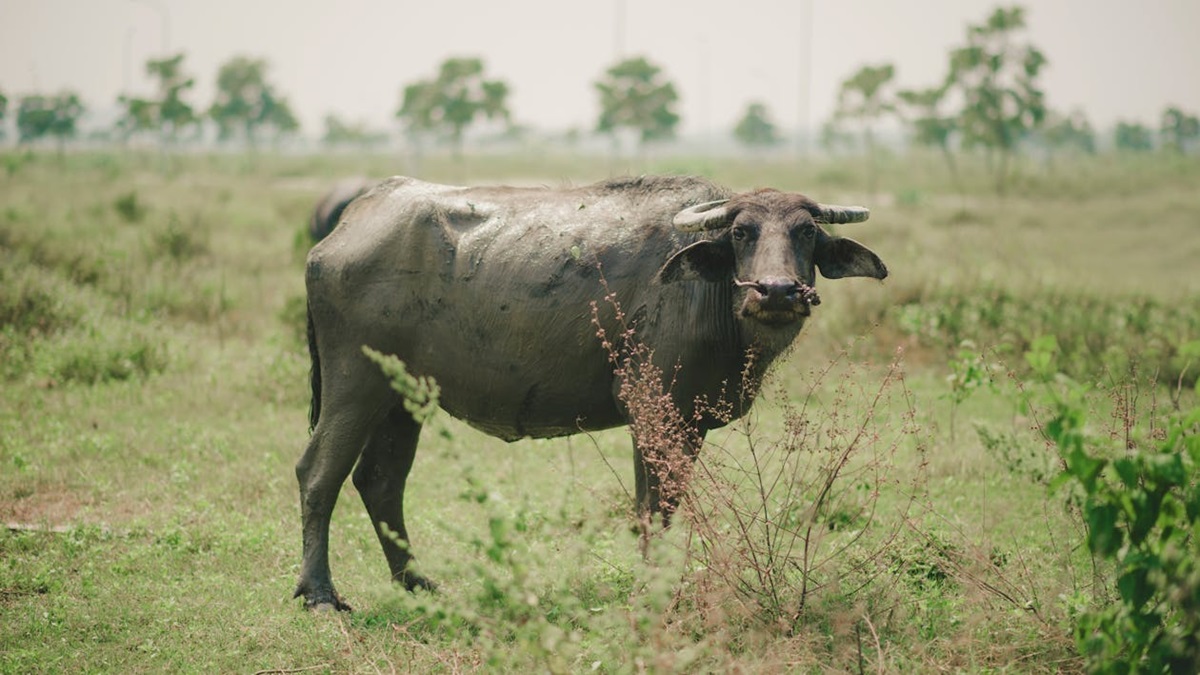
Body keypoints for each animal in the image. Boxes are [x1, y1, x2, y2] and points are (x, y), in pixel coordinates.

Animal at [295, 172, 888, 610]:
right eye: (741, 232)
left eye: (805, 233)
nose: (778, 291)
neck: (707, 294)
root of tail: (346, 224)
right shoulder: (651, 410)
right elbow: (652, 510)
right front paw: (655, 595)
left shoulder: (685, 424)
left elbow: (662, 508)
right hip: (354, 386)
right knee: (318, 474)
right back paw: (320, 595)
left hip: (403, 399)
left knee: (380, 482)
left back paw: (417, 583)